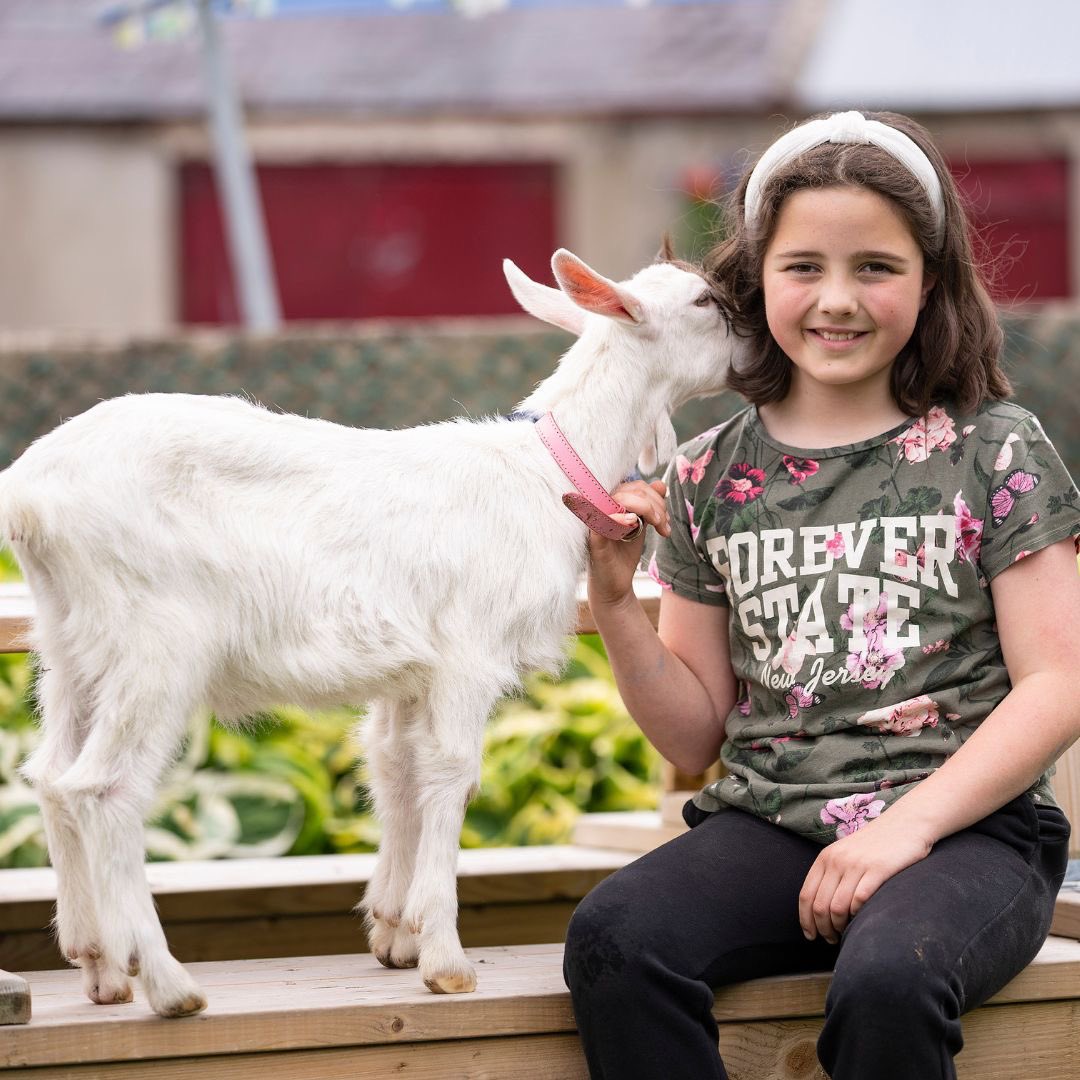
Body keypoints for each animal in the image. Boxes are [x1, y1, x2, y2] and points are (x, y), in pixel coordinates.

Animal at [0, 248, 738, 1015]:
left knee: (51, 775)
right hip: (155, 642)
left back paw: (100, 966)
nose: (750, 347)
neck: (546, 472)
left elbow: (394, 768)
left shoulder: (407, 674)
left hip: (69, 643)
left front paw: (393, 932)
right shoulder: (466, 655)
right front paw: (443, 958)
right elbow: (451, 774)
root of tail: (26, 499)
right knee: (103, 788)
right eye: (703, 302)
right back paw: (170, 986)